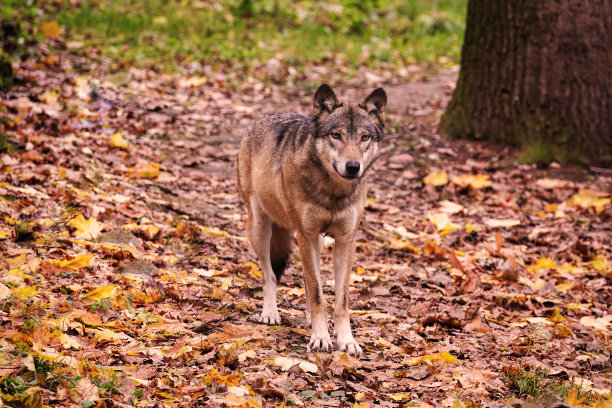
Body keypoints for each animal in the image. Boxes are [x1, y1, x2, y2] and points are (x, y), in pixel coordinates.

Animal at [237, 84, 384, 356]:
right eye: (336, 135)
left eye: (364, 137)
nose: (353, 166)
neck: (334, 192)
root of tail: (264, 117)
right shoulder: (305, 235)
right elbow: (317, 295)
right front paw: (321, 338)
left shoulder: (346, 240)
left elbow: (338, 300)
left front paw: (346, 340)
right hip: (261, 228)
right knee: (269, 275)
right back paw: (270, 313)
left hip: (315, 240)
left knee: (307, 282)